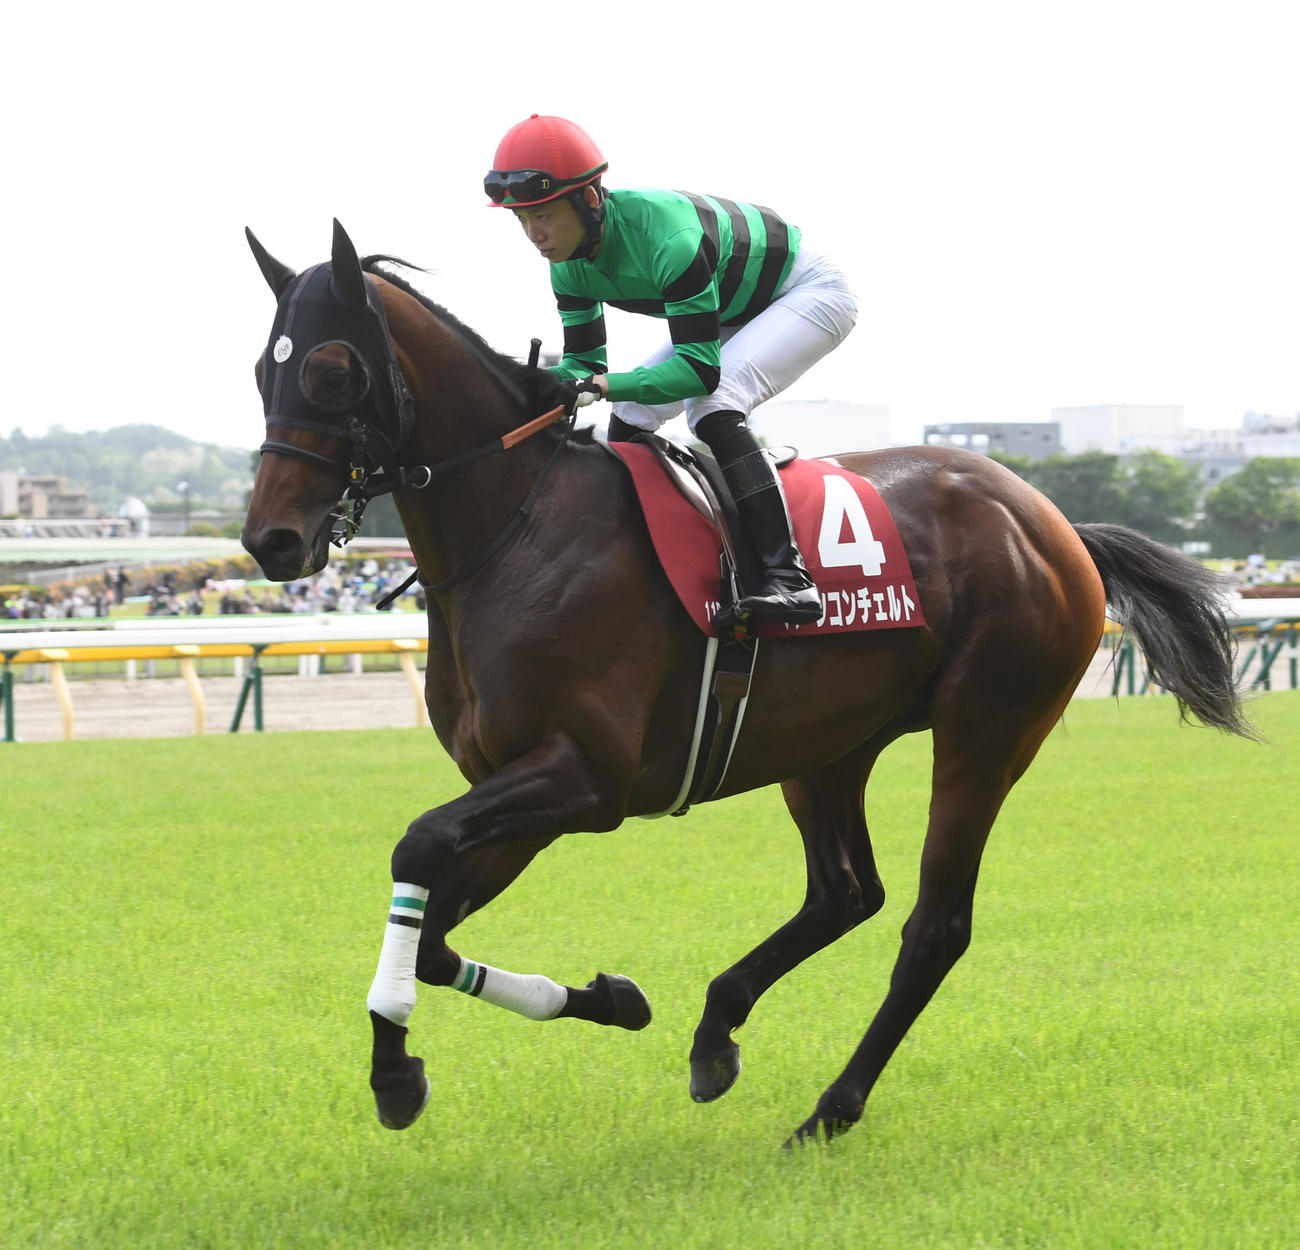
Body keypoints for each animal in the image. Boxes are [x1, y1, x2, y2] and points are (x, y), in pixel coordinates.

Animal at [241, 220, 1253, 1147]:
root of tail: (1054, 523)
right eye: (262, 369)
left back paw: (831, 1108)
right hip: (828, 746)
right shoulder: (520, 791)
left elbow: (414, 850)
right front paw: (613, 999)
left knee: (934, 926)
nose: (270, 542)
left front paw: (392, 1069)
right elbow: (435, 929)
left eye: (331, 372)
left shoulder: (585, 779)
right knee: (846, 892)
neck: (522, 528)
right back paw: (716, 1029)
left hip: (987, 732)